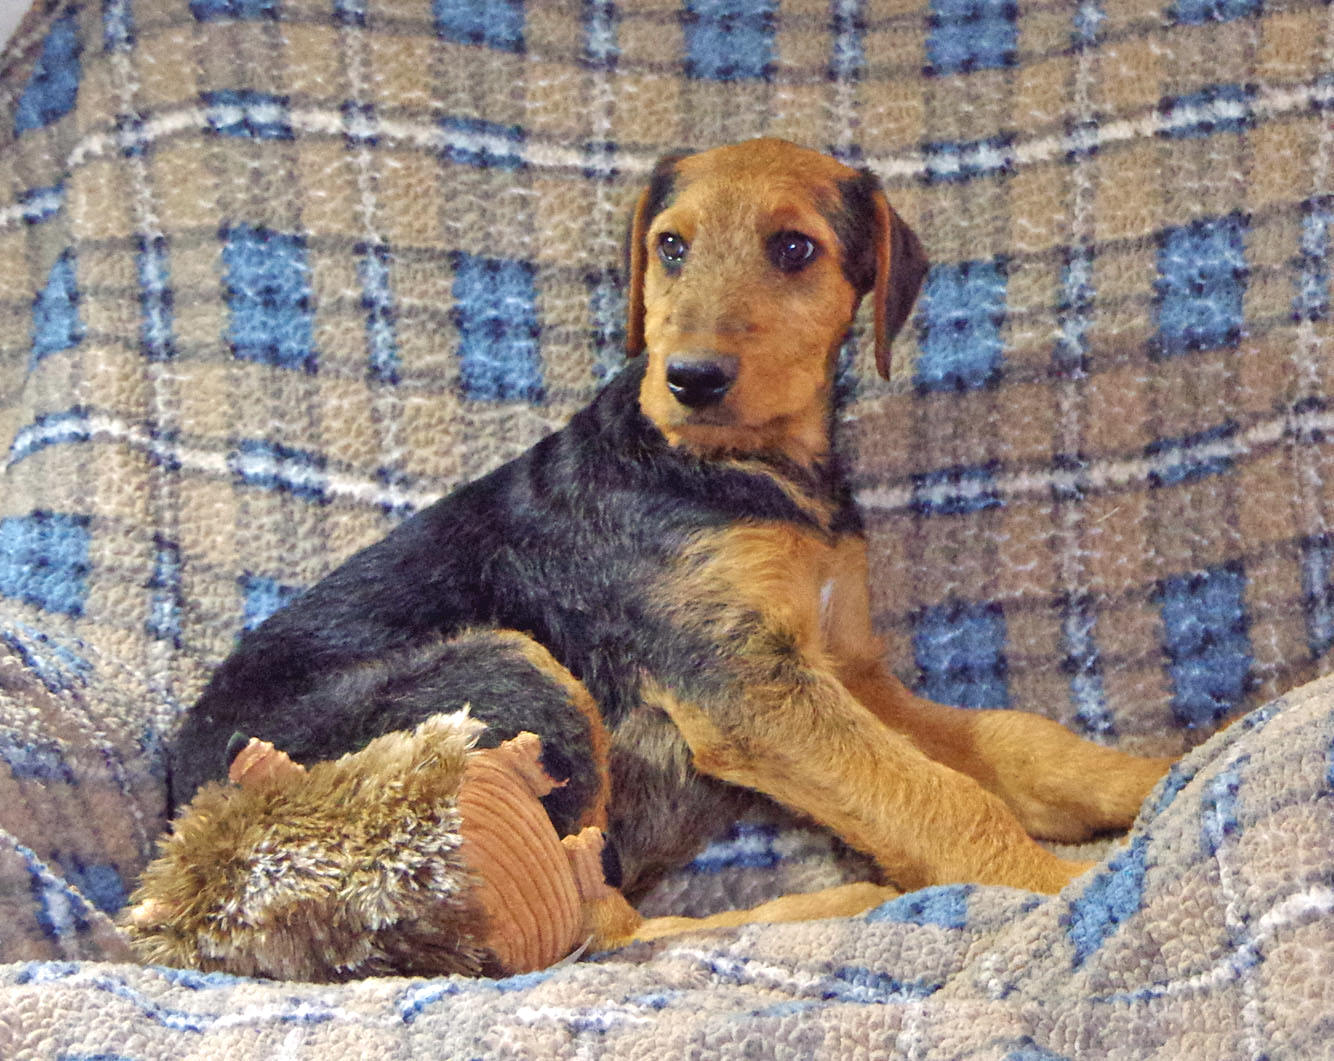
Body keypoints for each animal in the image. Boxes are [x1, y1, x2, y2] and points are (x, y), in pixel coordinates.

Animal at [164, 138, 1168, 944]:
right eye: (670, 245)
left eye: (795, 248)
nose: (690, 378)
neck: (750, 472)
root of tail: (194, 843)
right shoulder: (744, 684)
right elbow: (935, 793)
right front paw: (1053, 882)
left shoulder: (842, 666)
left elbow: (1012, 742)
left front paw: (1159, 773)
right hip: (513, 680)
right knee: (598, 929)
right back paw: (841, 904)